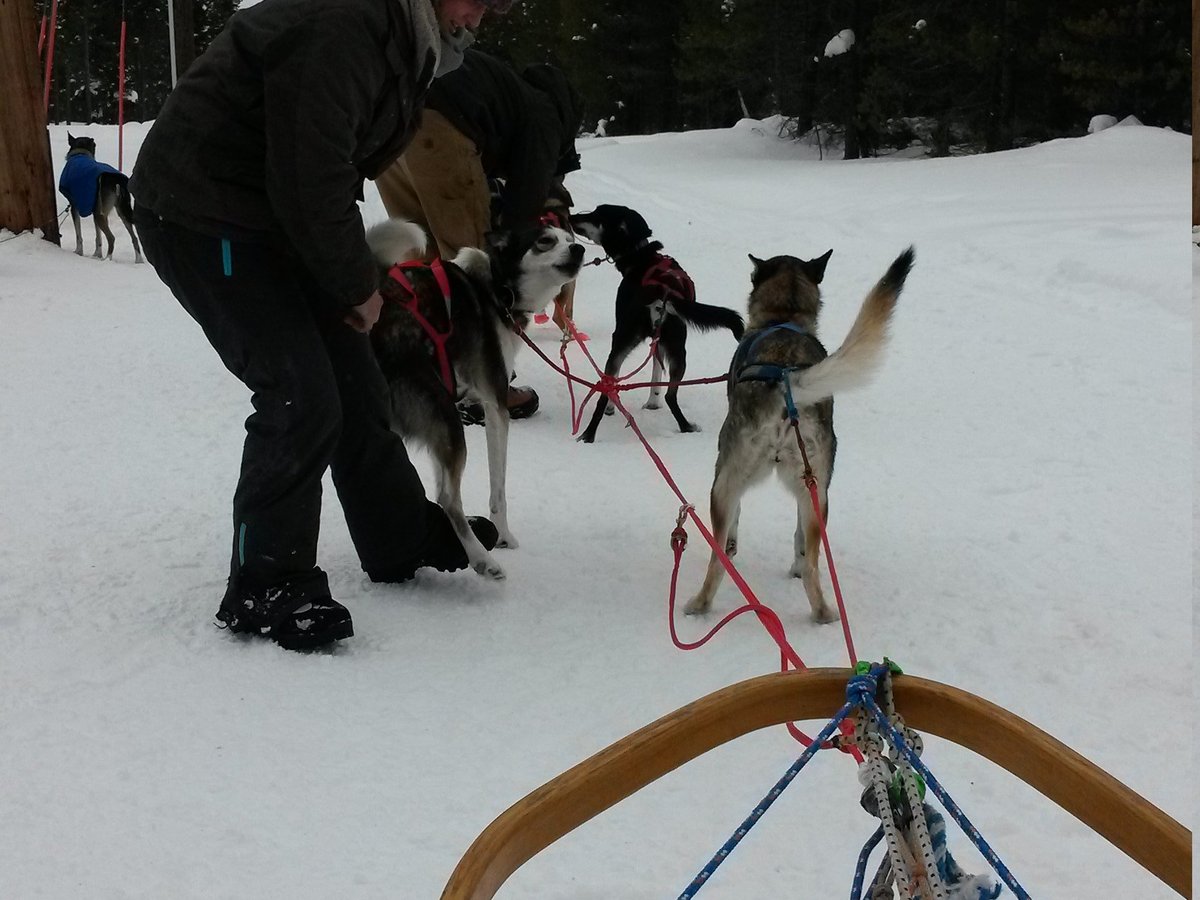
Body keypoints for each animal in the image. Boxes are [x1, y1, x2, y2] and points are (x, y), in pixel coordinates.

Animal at [59, 133, 142, 264]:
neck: (80, 153)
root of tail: (116, 180)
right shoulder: (96, 210)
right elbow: (98, 237)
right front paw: (96, 254)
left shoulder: (74, 206)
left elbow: (79, 235)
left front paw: (79, 252)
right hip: (121, 211)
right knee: (134, 238)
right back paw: (138, 261)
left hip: (101, 214)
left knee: (112, 238)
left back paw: (107, 259)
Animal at [369, 222, 585, 580]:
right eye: (545, 241)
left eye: (570, 239)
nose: (579, 249)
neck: (497, 288)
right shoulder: (496, 404)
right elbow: (498, 488)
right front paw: (505, 535)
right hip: (446, 421)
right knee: (447, 497)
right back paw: (483, 559)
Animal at [568, 205, 739, 444]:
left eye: (597, 215)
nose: (572, 216)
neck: (641, 257)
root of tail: (660, 292)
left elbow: (650, 369)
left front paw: (645, 402)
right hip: (676, 350)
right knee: (669, 396)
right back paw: (686, 427)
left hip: (633, 342)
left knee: (607, 389)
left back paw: (590, 433)